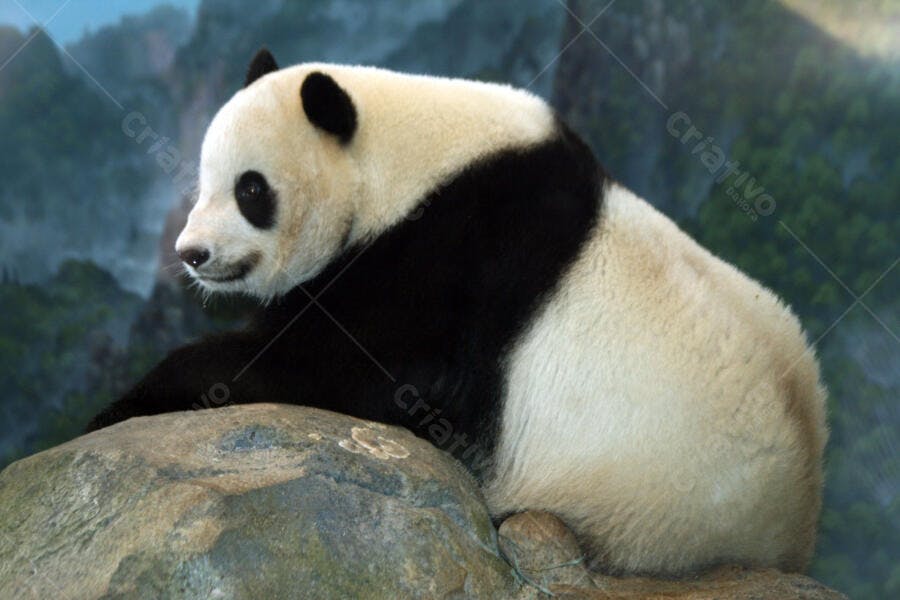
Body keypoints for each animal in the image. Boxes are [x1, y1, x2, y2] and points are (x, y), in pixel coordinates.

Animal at [88, 48, 828, 577]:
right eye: (203, 180)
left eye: (251, 190)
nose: (192, 253)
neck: (409, 158)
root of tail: (796, 520)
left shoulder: (452, 257)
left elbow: (352, 369)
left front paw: (128, 404)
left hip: (642, 500)